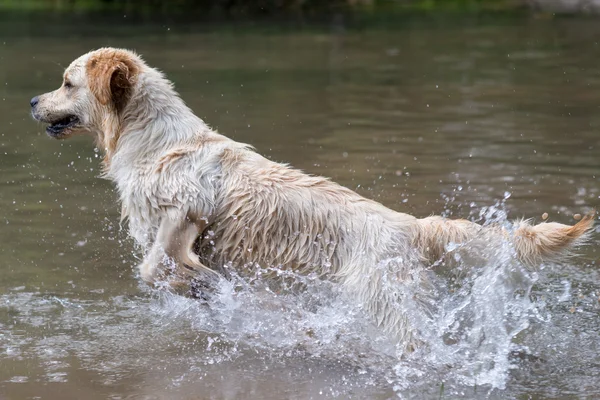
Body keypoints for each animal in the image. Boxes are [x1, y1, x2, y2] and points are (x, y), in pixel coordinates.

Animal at [31, 48, 596, 350]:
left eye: (66, 83)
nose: (34, 100)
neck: (150, 139)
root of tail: (411, 225)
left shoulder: (186, 208)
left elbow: (155, 266)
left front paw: (201, 282)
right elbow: (162, 269)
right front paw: (205, 288)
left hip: (384, 303)